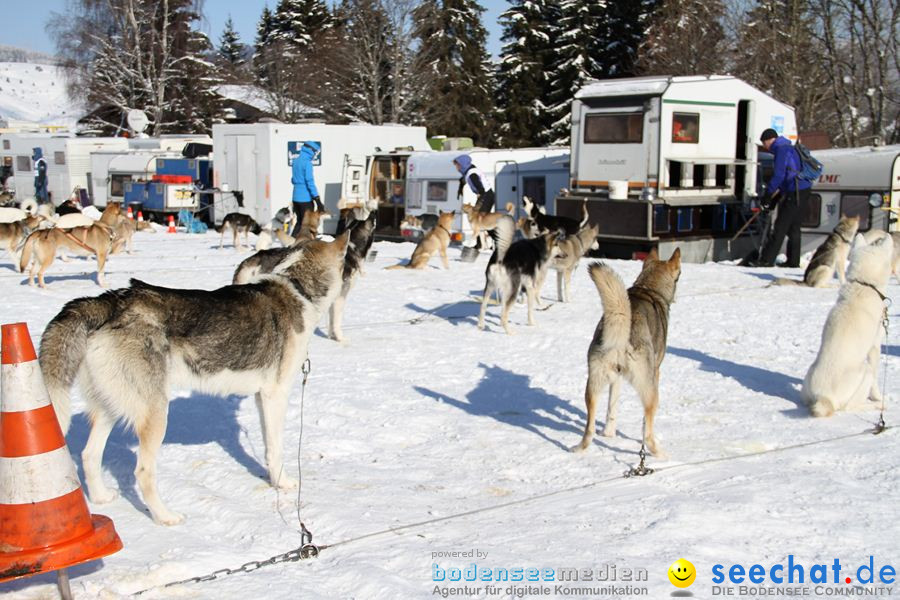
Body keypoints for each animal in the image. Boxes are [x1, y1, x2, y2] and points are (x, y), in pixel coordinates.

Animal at [41, 232, 352, 524]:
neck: (297, 288)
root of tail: (107, 301)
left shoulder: (261, 397)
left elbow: (266, 445)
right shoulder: (276, 395)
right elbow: (275, 449)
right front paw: (283, 482)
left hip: (112, 406)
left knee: (89, 455)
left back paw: (102, 498)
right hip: (155, 413)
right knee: (142, 472)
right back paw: (165, 517)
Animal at [576, 248, 684, 454]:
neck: (648, 289)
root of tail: (623, 323)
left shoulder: (616, 378)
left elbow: (611, 408)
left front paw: (608, 433)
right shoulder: (656, 373)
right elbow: (644, 423)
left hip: (593, 384)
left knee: (589, 430)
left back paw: (578, 448)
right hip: (649, 389)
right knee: (648, 434)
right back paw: (660, 454)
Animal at [800, 231, 892, 418]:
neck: (864, 285)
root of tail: (823, 397)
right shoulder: (875, 348)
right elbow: (876, 382)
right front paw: (879, 398)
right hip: (865, 371)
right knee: (850, 407)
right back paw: (875, 406)